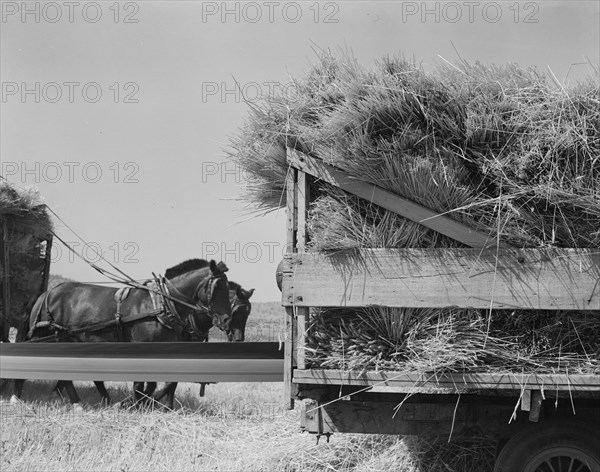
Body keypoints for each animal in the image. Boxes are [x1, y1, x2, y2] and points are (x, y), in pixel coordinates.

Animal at [11, 256, 233, 408]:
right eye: (218, 287)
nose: (226, 320)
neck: (160, 304)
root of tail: (47, 293)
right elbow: (142, 385)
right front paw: (132, 404)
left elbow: (155, 384)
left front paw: (139, 403)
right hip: (44, 336)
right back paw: (18, 397)